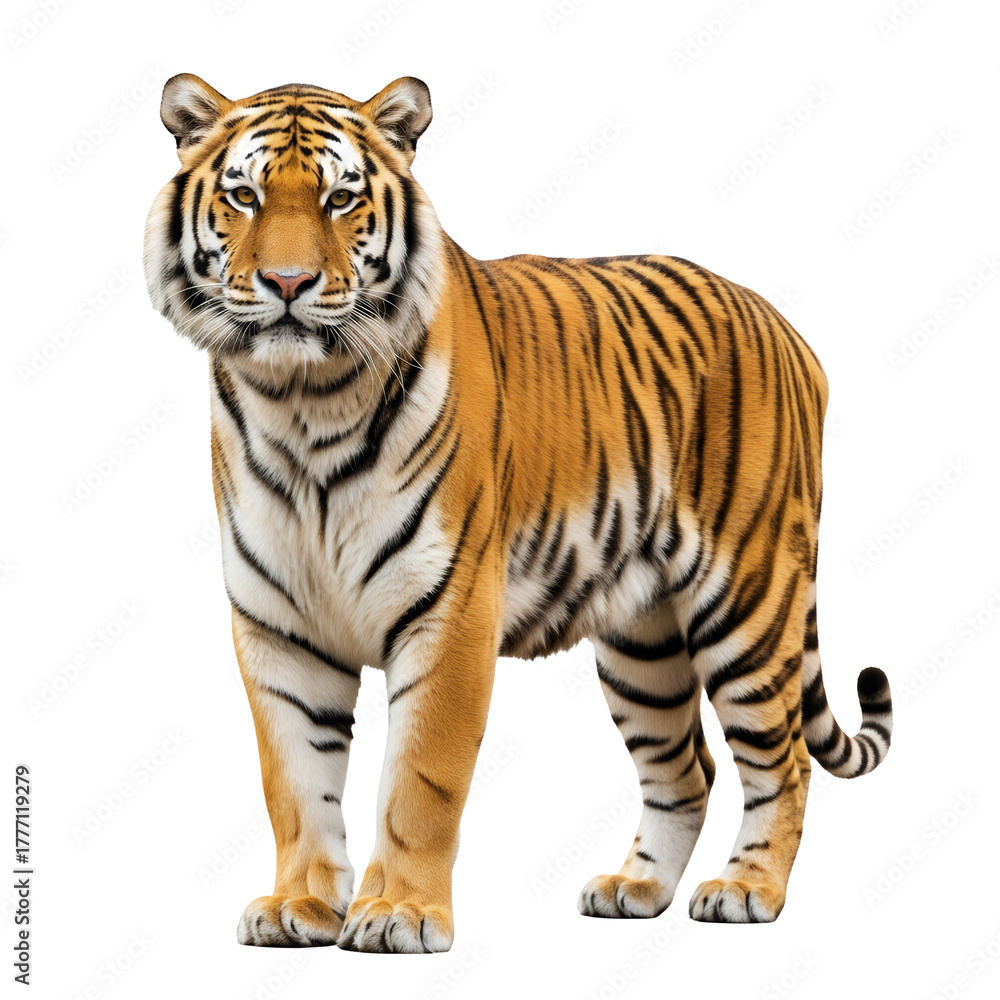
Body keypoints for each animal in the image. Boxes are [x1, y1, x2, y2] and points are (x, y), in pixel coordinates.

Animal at [143, 73, 893, 954]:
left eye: (340, 199)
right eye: (244, 196)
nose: (288, 284)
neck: (303, 405)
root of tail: (788, 330)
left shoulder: (450, 613)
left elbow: (420, 779)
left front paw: (399, 913)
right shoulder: (278, 628)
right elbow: (293, 781)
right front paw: (300, 906)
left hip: (749, 599)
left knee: (783, 761)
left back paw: (747, 890)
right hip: (642, 639)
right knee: (686, 769)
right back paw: (636, 888)